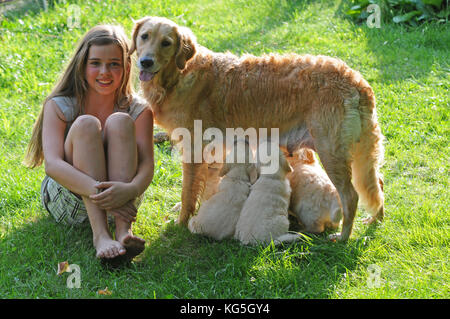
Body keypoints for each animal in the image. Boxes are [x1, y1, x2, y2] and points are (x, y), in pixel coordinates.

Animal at [129, 16, 384, 241]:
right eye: (144, 36)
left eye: (166, 42)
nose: (146, 62)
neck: (178, 75)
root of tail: (358, 82)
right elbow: (205, 185)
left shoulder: (193, 149)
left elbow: (188, 192)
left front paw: (180, 223)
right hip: (358, 155)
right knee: (377, 183)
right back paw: (375, 221)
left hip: (332, 152)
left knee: (351, 196)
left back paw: (343, 237)